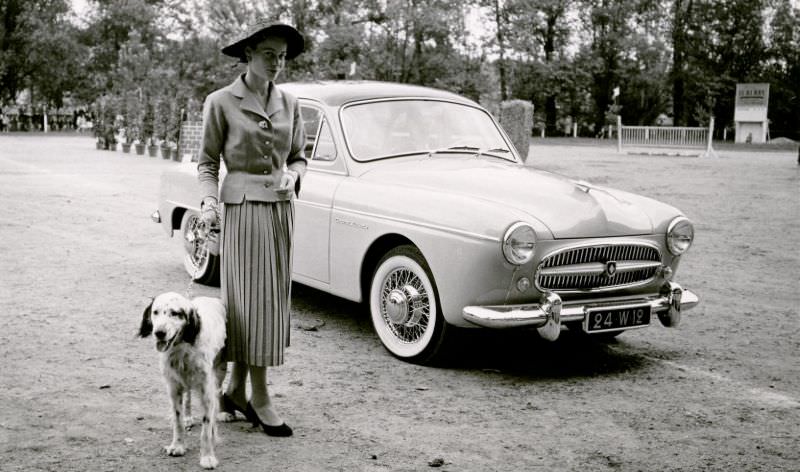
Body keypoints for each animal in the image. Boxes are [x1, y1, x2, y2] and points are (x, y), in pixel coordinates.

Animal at [139, 292, 228, 468]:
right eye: (155, 312)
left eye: (175, 313)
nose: (159, 332)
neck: (182, 348)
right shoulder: (174, 388)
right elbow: (177, 421)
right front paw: (177, 446)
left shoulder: (206, 390)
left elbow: (206, 428)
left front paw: (207, 456)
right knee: (188, 398)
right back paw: (188, 418)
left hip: (220, 370)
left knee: (218, 395)